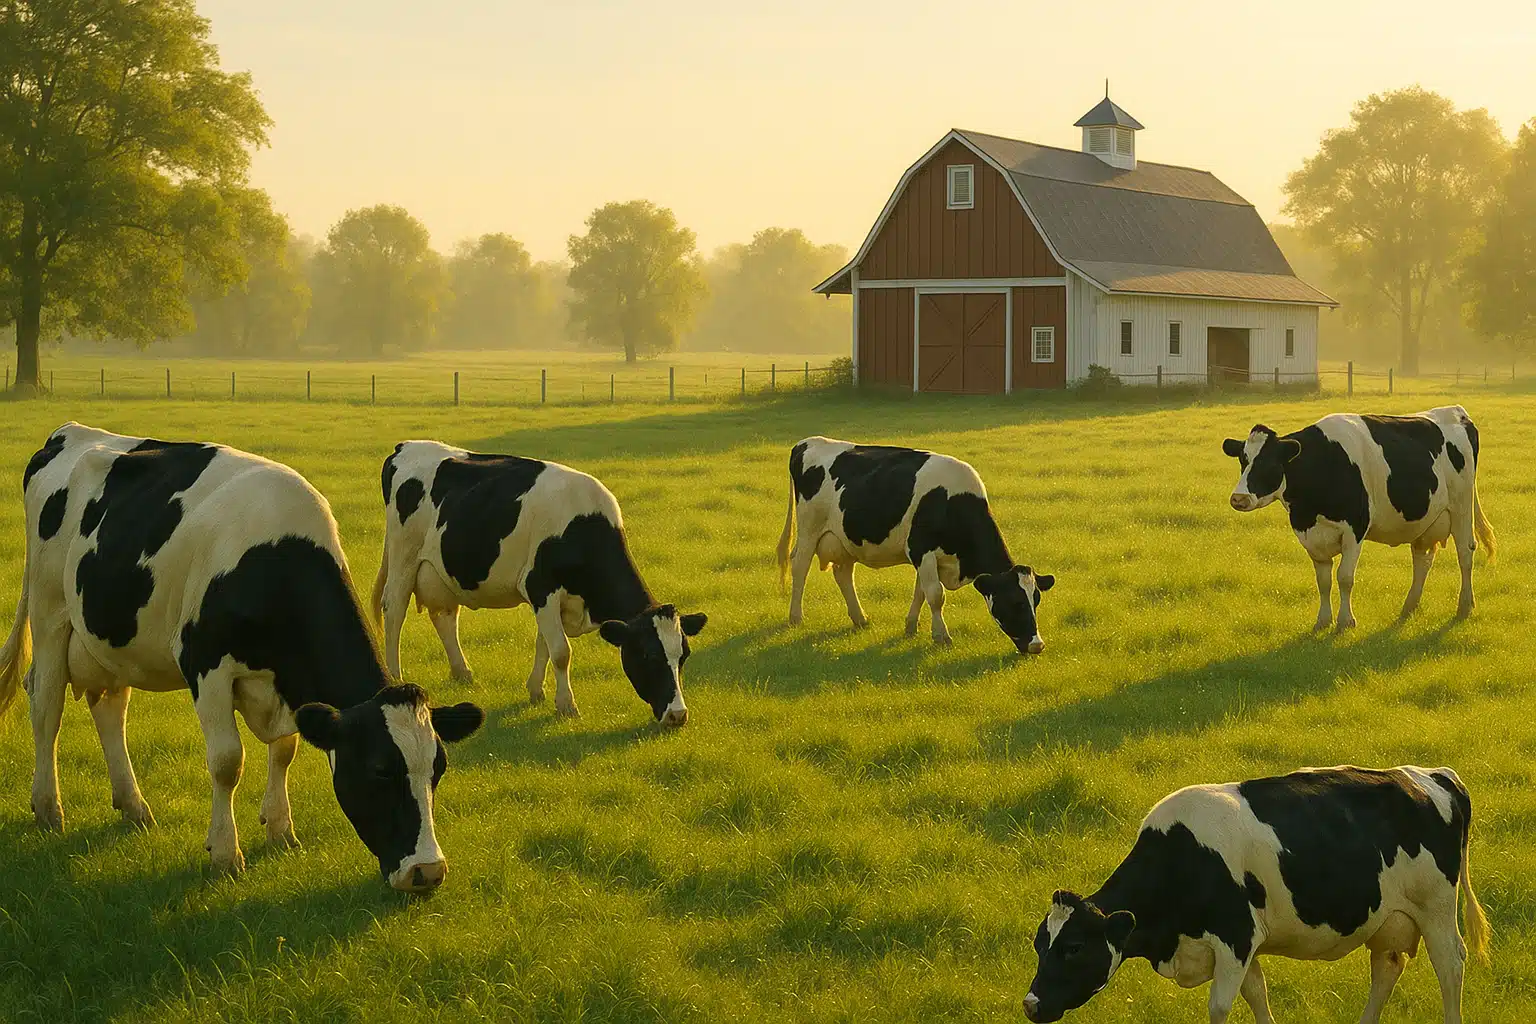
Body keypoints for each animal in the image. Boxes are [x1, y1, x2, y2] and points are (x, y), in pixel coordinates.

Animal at [0, 423, 485, 892]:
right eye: (380, 770)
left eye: (437, 769)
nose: (427, 872)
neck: (274, 562)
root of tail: (69, 433)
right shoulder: (205, 665)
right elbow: (227, 762)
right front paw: (225, 853)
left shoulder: (286, 687)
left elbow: (285, 749)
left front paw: (280, 829)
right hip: (49, 610)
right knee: (46, 704)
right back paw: (48, 807)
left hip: (108, 635)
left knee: (109, 708)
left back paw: (134, 806)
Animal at [375, 441, 707, 726]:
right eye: (649, 655)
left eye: (684, 655)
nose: (679, 715)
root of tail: (406, 446)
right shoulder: (541, 587)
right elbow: (560, 651)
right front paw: (567, 705)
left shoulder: (550, 600)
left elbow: (544, 644)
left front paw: (536, 691)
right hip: (403, 555)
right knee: (394, 612)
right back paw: (395, 676)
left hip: (442, 571)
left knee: (444, 617)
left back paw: (463, 673)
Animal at [775, 437, 1054, 652]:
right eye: (1015, 602)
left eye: (1036, 600)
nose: (1037, 645)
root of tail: (807, 442)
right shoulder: (922, 550)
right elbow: (935, 595)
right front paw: (941, 636)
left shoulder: (926, 558)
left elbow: (921, 592)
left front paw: (911, 626)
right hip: (809, 528)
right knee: (800, 566)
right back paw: (796, 617)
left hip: (844, 538)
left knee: (843, 573)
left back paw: (860, 619)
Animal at [1024, 765, 1490, 1024]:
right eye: (1039, 945)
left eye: (1074, 947)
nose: (1030, 1005)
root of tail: (1431, 775)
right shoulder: (1243, 946)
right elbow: (1257, 997)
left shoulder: (1235, 938)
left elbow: (1220, 1007)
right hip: (1388, 919)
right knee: (1388, 967)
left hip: (1436, 906)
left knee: (1450, 966)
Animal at [1223, 406, 1494, 632]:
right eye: (1243, 460)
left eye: (1269, 463)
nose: (1239, 498)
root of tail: (1457, 411)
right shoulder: (1311, 536)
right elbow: (1323, 581)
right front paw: (1322, 621)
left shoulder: (1355, 529)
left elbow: (1344, 577)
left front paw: (1346, 621)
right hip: (1425, 520)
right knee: (1422, 559)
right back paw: (1409, 606)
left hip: (1461, 506)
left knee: (1465, 553)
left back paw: (1465, 606)